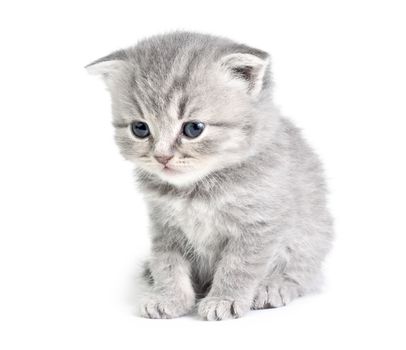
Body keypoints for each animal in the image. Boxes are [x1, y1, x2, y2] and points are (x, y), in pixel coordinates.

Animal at [85, 32, 334, 320]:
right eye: (140, 128)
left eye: (193, 128)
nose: (162, 157)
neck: (195, 189)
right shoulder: (164, 227)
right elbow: (167, 264)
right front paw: (169, 297)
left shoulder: (258, 225)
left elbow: (238, 266)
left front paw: (224, 299)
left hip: (311, 238)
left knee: (302, 274)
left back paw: (273, 286)